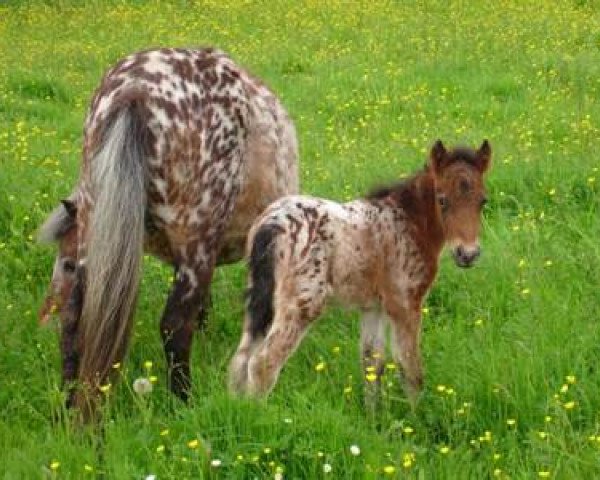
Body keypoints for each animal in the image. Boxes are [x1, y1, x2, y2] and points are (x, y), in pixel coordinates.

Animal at [37, 47, 298, 418]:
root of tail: (135, 90)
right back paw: (184, 401)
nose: (44, 314)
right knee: (174, 325)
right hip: (196, 241)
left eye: (66, 262)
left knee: (75, 324)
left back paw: (69, 405)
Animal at [230, 140, 492, 404]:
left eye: (483, 201)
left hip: (259, 299)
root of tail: (272, 224)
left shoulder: (373, 307)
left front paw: (373, 413)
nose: (467, 254)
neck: (408, 222)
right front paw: (416, 413)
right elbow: (410, 369)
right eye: (442, 200)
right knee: (263, 363)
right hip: (303, 303)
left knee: (240, 360)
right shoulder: (405, 303)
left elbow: (372, 364)